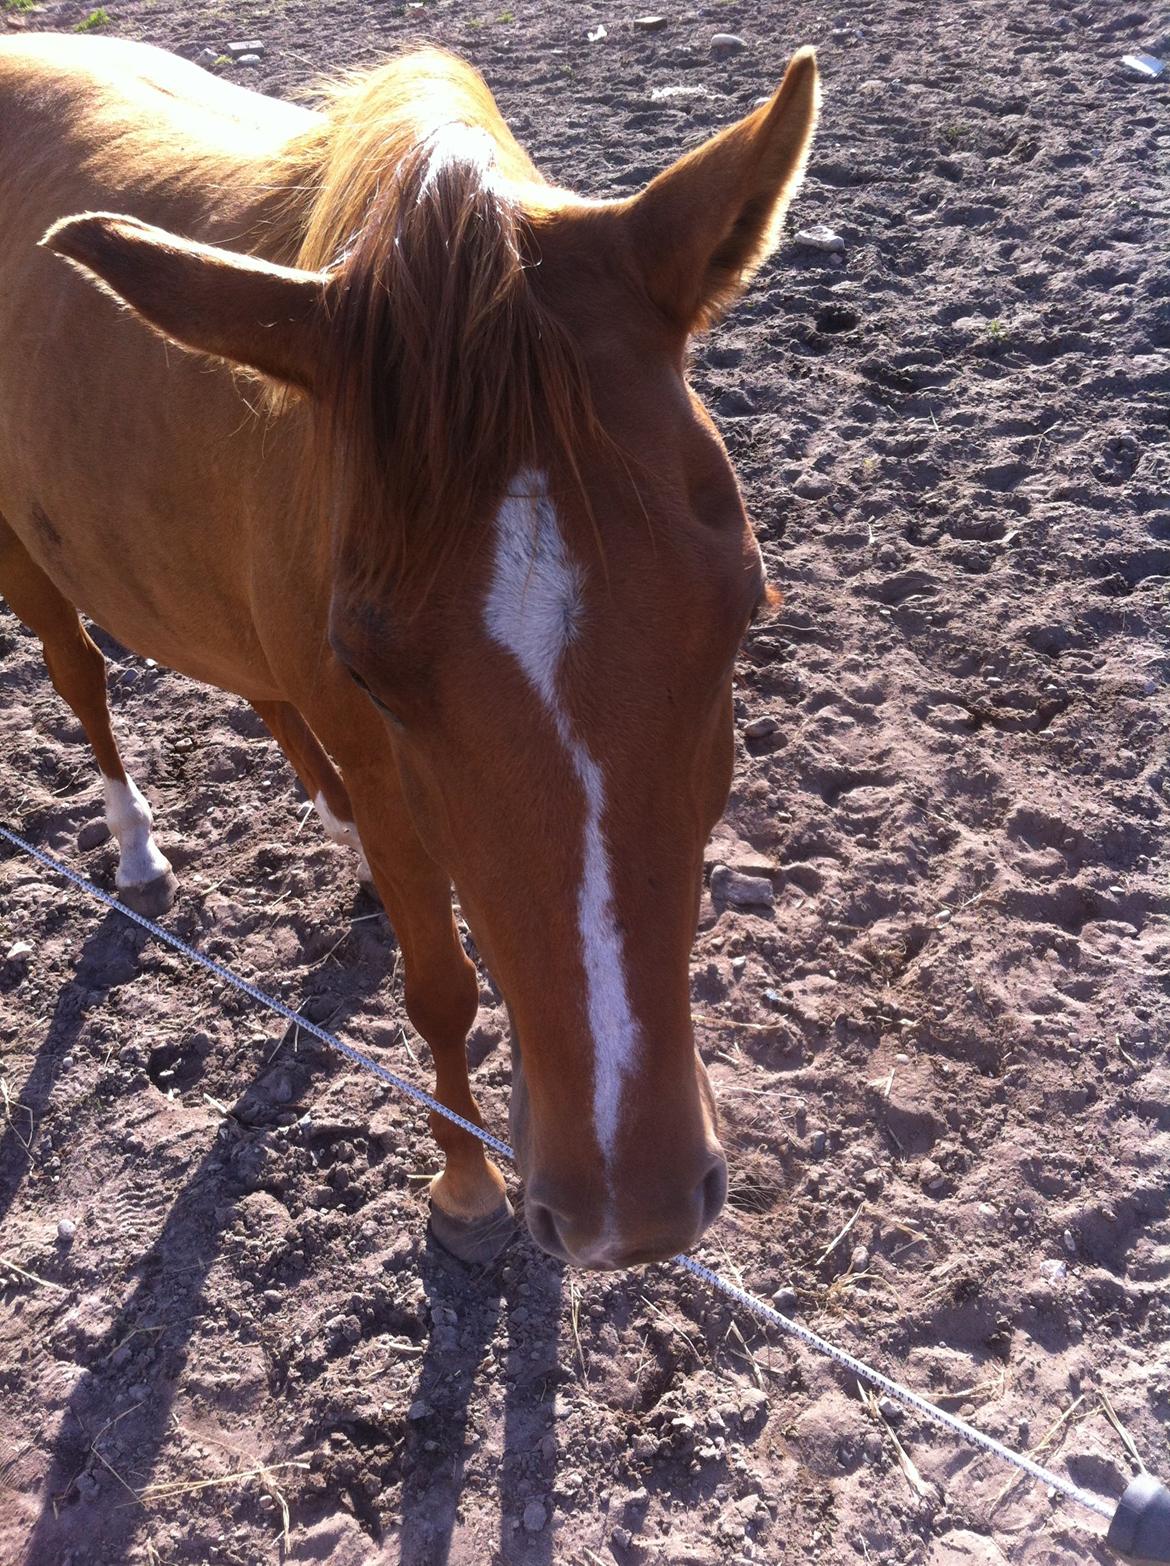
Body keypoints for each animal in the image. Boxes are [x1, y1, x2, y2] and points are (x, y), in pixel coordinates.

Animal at [0, 33, 820, 1271]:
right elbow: (439, 988)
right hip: (24, 558)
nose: (632, 1212)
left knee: (258, 692)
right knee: (80, 675)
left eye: (738, 615)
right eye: (373, 671)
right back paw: (138, 845)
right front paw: (468, 1185)